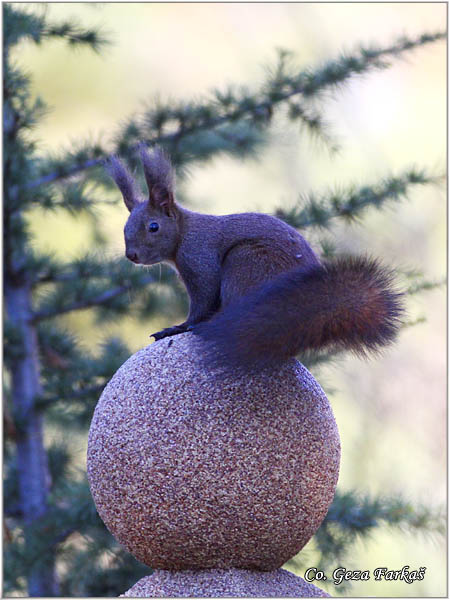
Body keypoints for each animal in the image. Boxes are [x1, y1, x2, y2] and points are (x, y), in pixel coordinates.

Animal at [106, 146, 404, 370]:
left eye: (153, 227)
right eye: (125, 228)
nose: (132, 255)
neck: (183, 233)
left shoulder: (200, 261)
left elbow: (202, 303)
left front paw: (179, 328)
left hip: (246, 263)